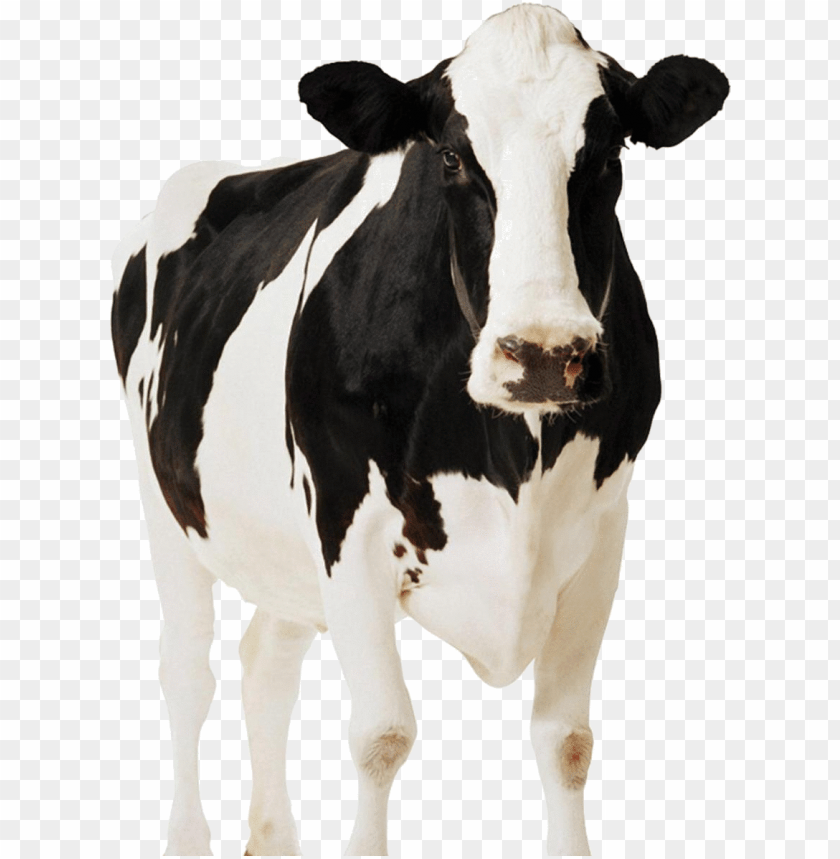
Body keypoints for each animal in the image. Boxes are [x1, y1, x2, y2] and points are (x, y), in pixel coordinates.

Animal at [111, 4, 728, 856]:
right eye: (452, 158)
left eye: (606, 154)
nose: (545, 354)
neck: (512, 455)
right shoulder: (347, 525)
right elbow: (382, 734)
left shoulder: (601, 538)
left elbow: (566, 740)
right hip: (165, 502)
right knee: (186, 672)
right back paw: (185, 834)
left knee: (265, 658)